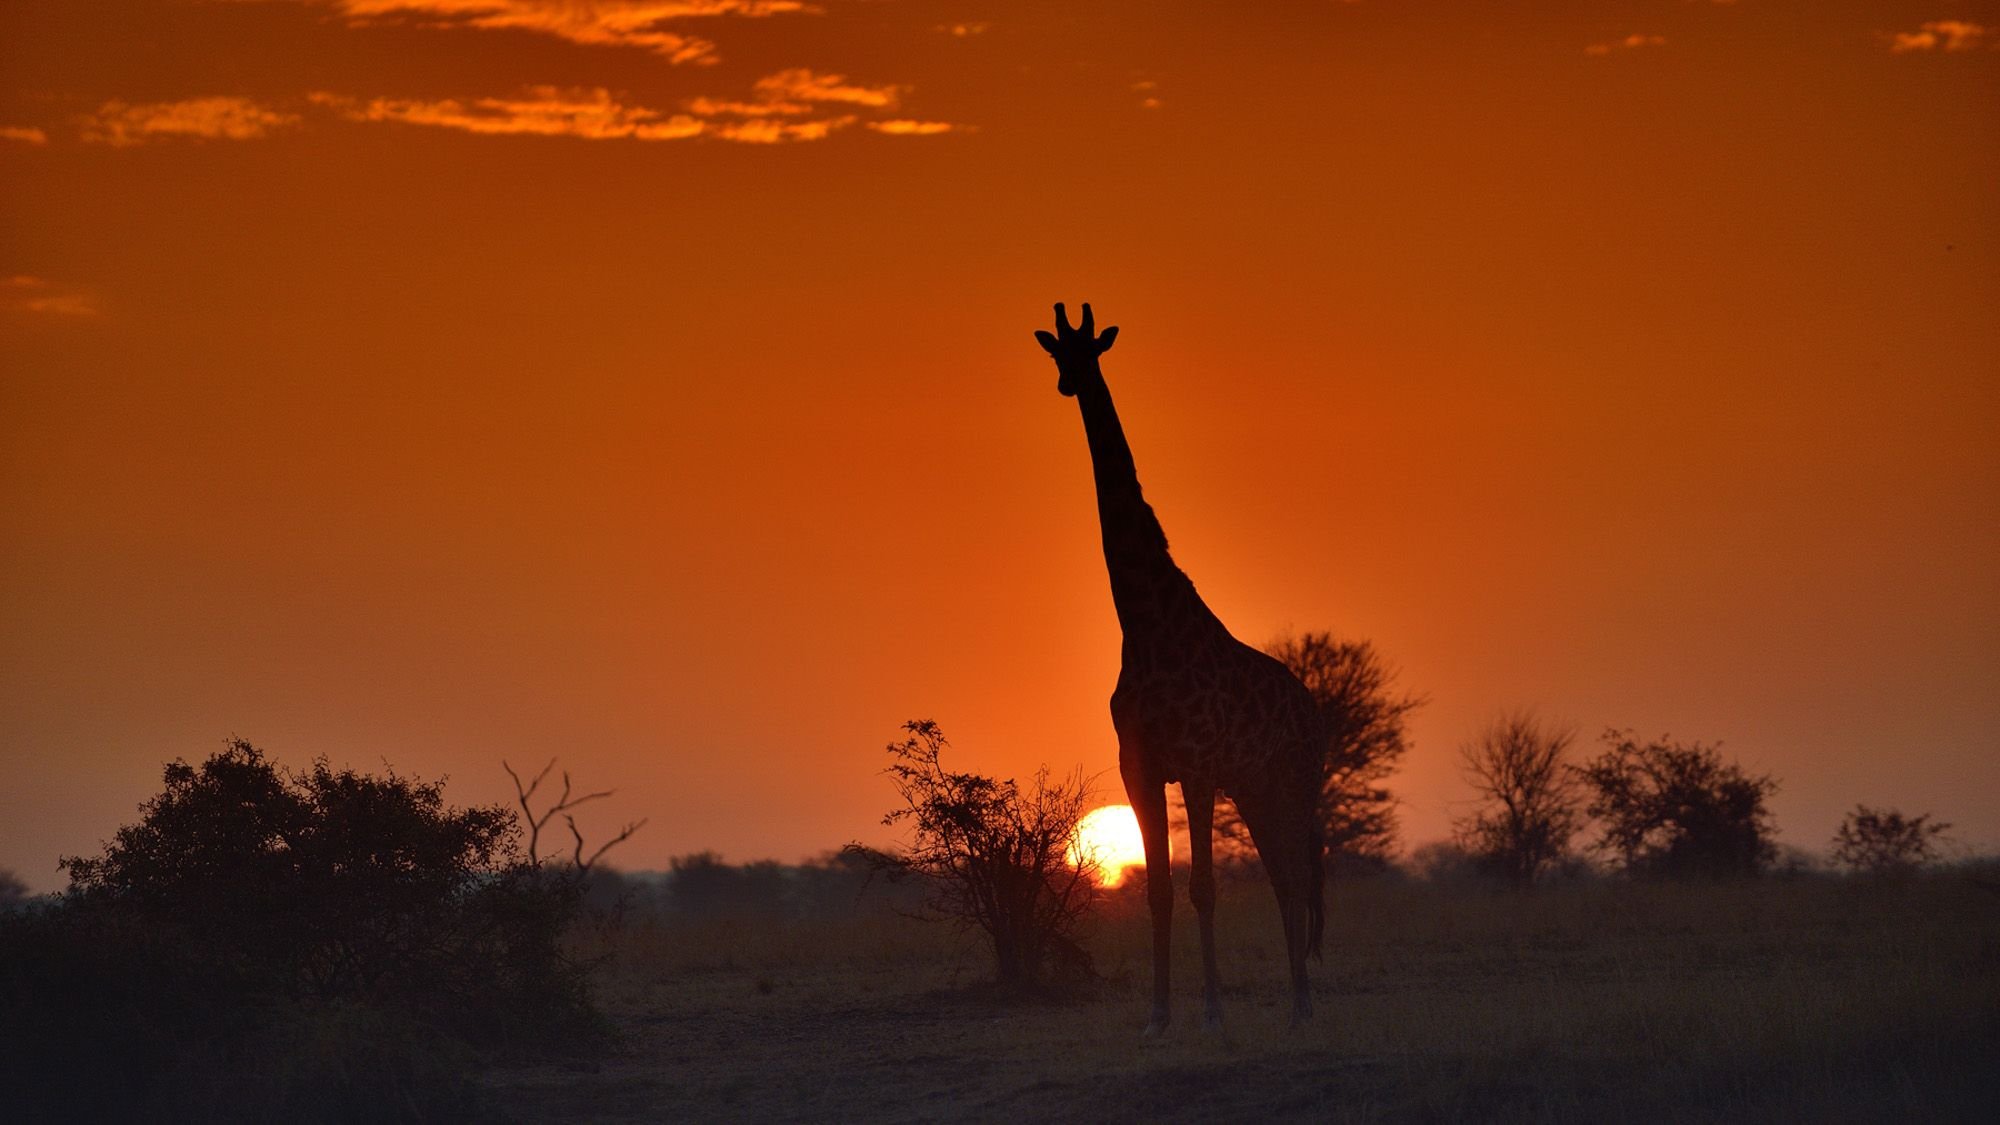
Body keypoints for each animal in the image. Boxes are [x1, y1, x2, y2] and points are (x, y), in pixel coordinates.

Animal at [1034, 302, 1326, 1034]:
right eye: (1057, 352)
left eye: (1091, 350)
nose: (1069, 383)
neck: (1142, 621)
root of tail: (1314, 706)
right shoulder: (1139, 765)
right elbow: (1161, 888)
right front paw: (1160, 1014)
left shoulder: (1195, 764)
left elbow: (1203, 885)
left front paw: (1215, 1009)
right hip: (1253, 783)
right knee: (1284, 874)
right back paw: (1297, 1002)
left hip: (1294, 778)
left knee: (1299, 873)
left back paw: (1304, 1002)